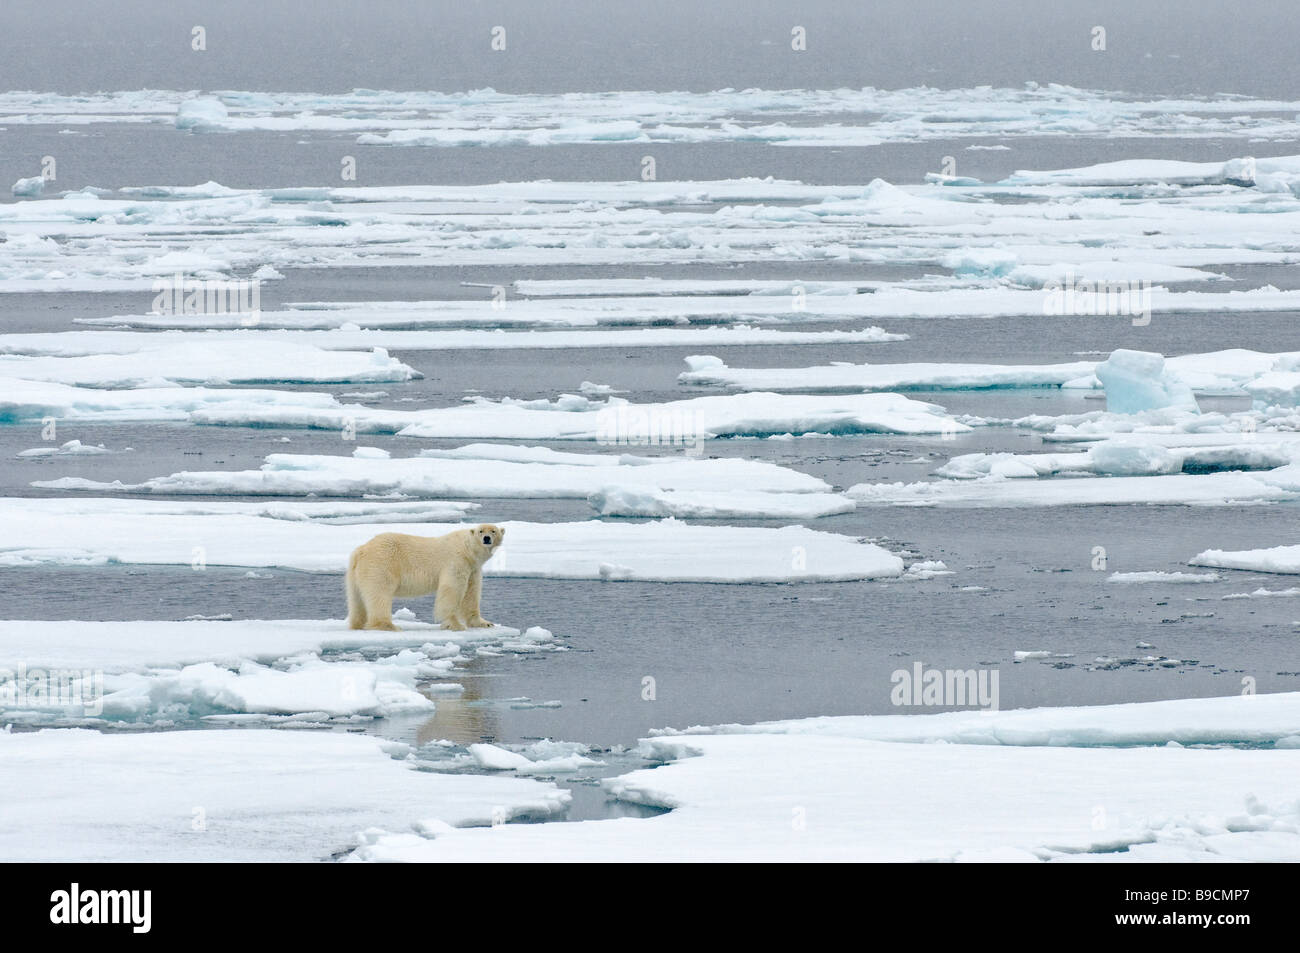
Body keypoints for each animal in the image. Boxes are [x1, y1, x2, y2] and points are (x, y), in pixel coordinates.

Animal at [343, 525, 504, 629]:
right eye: (480, 531)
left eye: (494, 531)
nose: (487, 538)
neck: (467, 549)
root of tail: (361, 550)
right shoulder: (456, 561)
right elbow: (452, 590)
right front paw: (455, 624)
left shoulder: (473, 568)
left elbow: (471, 594)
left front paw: (484, 623)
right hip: (381, 564)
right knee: (380, 593)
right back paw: (387, 625)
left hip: (355, 573)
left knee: (357, 598)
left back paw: (357, 624)